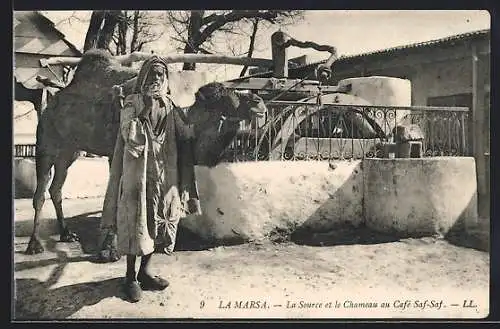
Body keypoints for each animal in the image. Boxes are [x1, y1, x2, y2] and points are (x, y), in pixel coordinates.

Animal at [23, 49, 268, 258]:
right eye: (223, 99)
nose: (259, 102)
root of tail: (49, 104)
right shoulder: (120, 149)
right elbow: (118, 193)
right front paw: (111, 251)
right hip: (46, 142)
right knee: (40, 191)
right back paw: (34, 245)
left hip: (70, 150)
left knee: (56, 188)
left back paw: (66, 234)